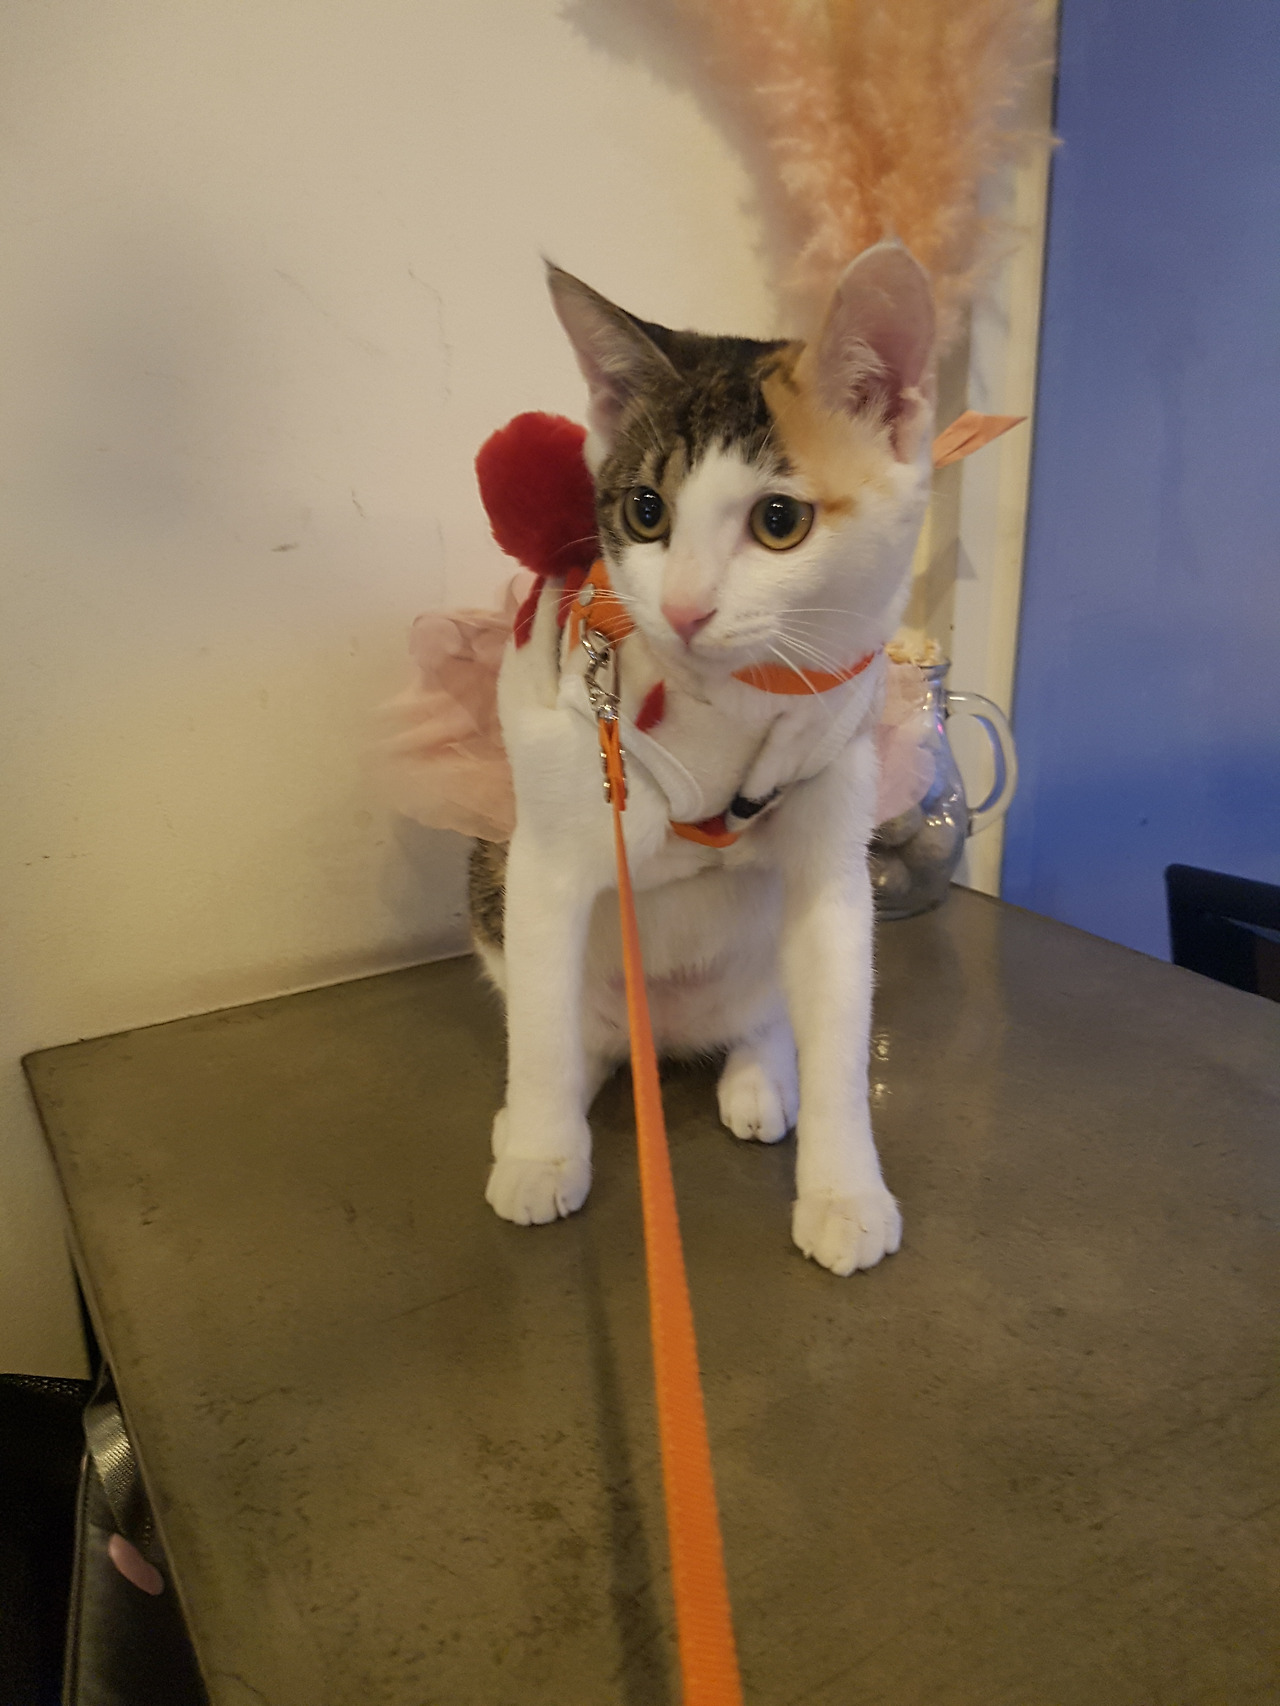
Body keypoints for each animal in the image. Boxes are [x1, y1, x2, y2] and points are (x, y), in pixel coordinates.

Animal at [471, 243, 936, 1274]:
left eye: (779, 521)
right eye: (646, 510)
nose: (682, 609)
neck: (728, 702)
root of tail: (676, 1032)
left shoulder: (837, 845)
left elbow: (841, 1021)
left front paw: (846, 1190)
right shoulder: (550, 848)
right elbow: (543, 1020)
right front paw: (542, 1149)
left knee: (777, 1007)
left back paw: (762, 1073)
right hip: (494, 883)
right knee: (559, 1016)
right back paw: (539, 1113)